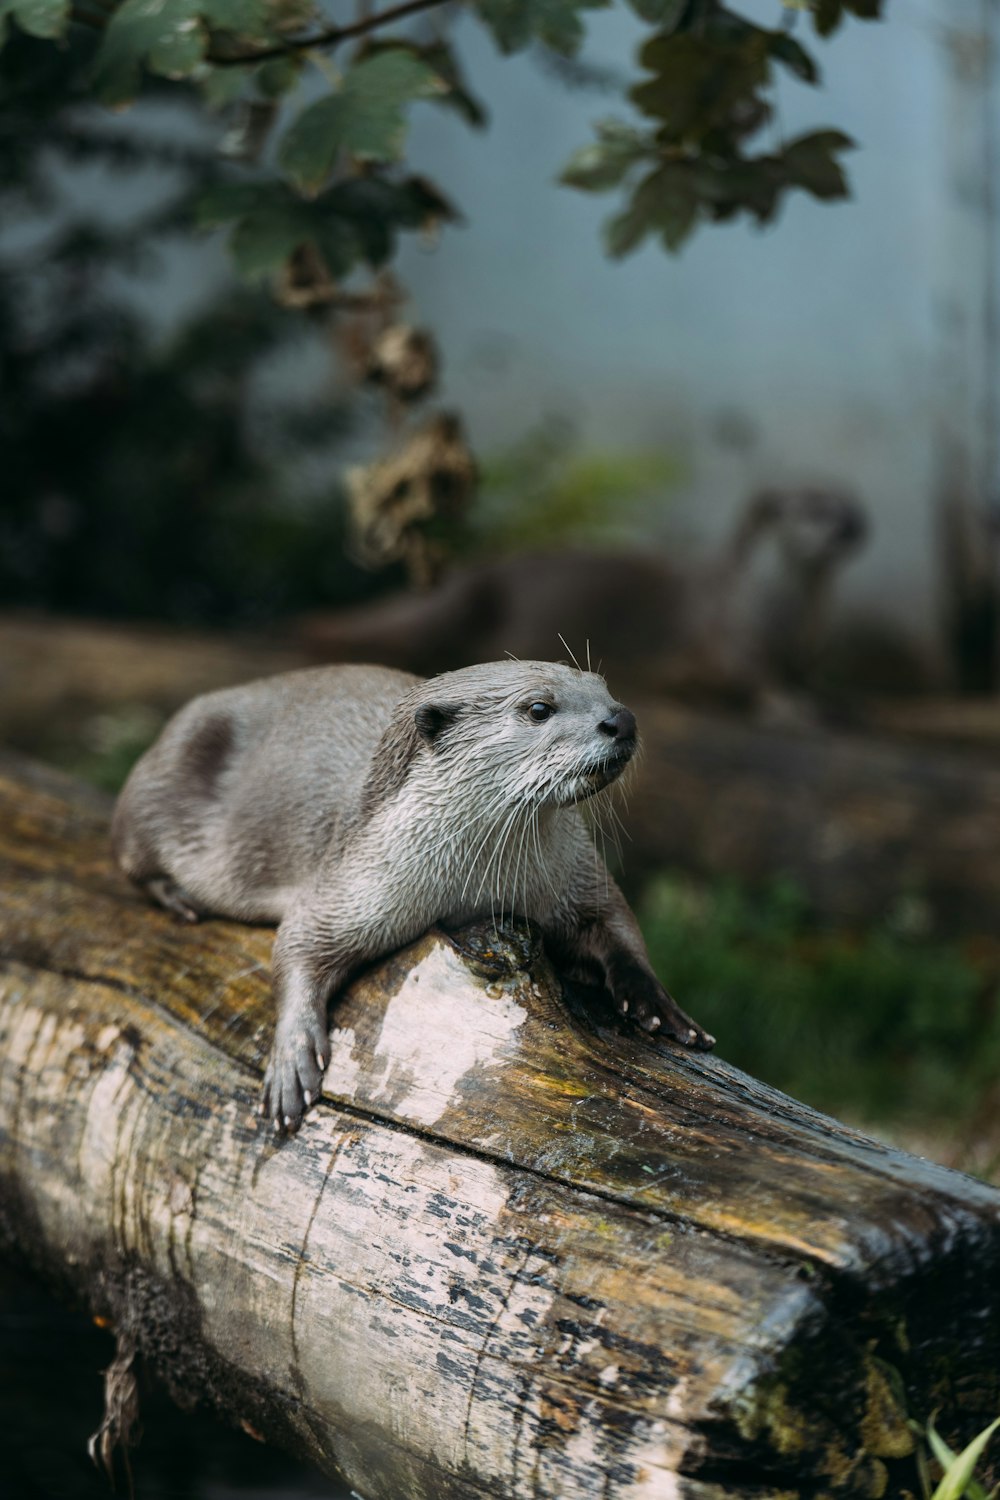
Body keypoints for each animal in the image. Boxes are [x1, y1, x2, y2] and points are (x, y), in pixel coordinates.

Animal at [113, 663, 716, 1128]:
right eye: (539, 708)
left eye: (603, 686)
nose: (621, 718)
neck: (478, 885)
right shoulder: (353, 881)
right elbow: (297, 945)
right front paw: (290, 1059)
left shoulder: (573, 874)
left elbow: (616, 926)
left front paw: (659, 1005)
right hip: (158, 788)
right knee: (128, 854)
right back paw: (178, 898)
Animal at [299, 486, 869, 708]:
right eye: (815, 508)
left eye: (853, 505)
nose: (853, 525)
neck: (787, 619)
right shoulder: (724, 633)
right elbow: (758, 679)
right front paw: (795, 707)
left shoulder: (807, 651)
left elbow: (817, 679)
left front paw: (836, 697)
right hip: (466, 598)